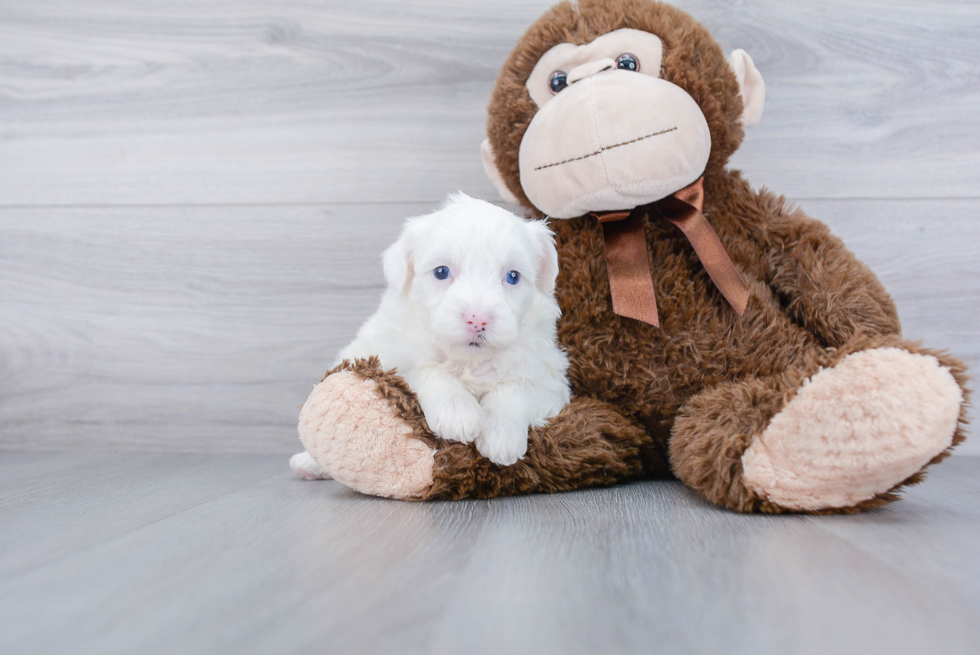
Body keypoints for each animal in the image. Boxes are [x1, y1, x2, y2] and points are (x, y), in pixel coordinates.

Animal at [288, 190, 572, 476]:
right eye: (441, 272)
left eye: (513, 277)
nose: (477, 319)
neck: (469, 361)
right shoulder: (388, 359)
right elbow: (427, 370)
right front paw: (457, 413)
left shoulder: (551, 383)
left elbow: (516, 388)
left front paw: (501, 436)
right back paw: (307, 464)